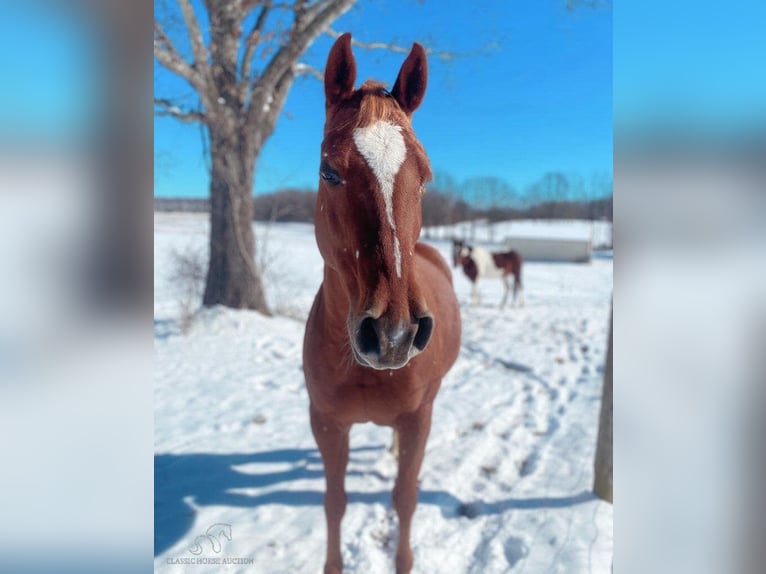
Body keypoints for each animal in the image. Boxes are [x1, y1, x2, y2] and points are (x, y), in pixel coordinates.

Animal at [304, 33, 462, 572]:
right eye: (329, 171)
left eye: (426, 176)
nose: (394, 334)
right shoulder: (327, 423)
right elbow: (334, 502)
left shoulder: (419, 419)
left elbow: (405, 497)